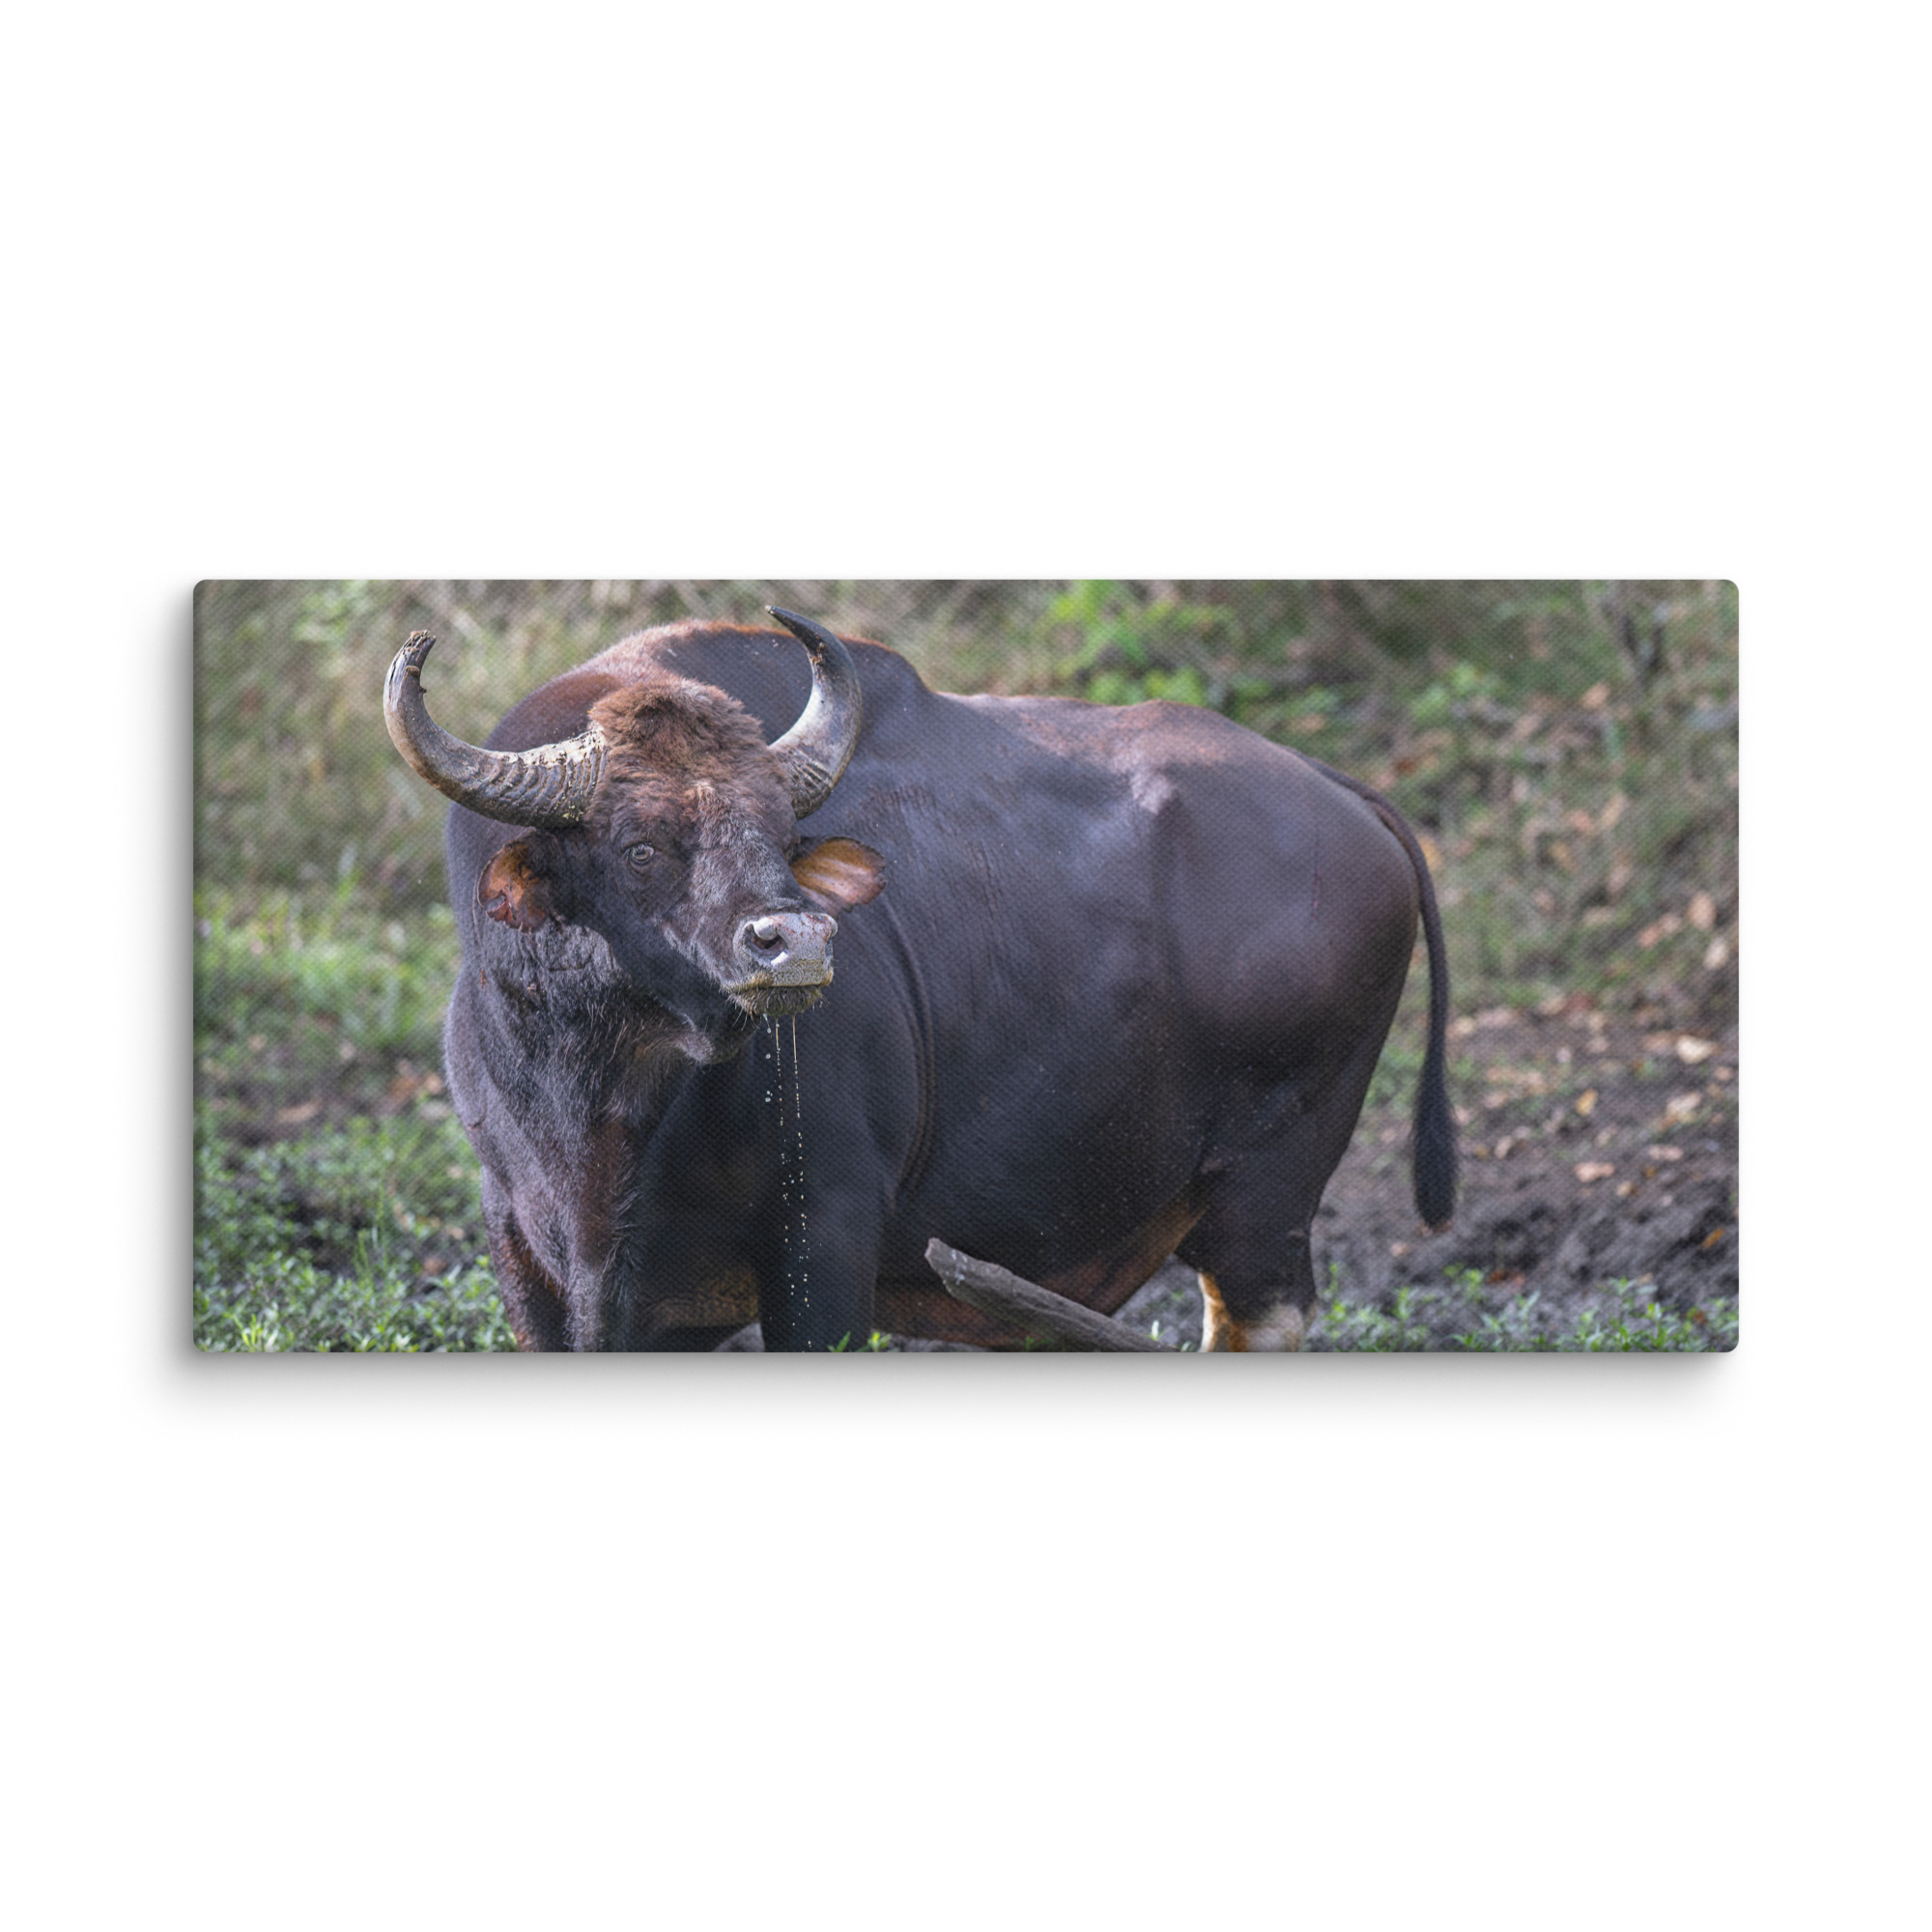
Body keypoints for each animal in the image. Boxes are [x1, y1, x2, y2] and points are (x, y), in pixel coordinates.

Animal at [383, 606, 1455, 1351]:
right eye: (641, 844)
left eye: (779, 831)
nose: (794, 943)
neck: (605, 1115)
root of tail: (1345, 796)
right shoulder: (531, 1257)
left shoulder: (826, 1237)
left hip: (1269, 1192)